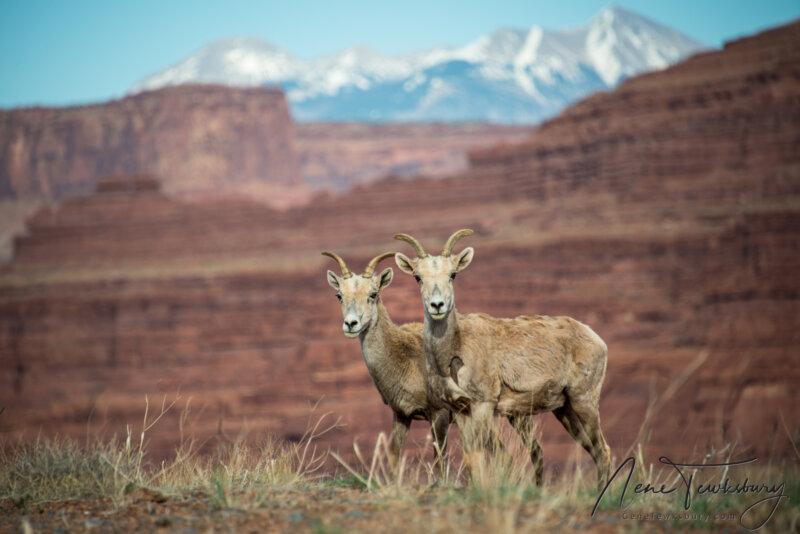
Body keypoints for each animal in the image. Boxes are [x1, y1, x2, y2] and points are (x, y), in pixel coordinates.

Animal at [324, 251, 450, 468]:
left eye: (373, 294)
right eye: (339, 295)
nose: (350, 324)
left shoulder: (439, 416)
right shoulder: (400, 416)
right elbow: (394, 458)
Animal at [394, 230, 612, 490]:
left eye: (453, 274)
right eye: (417, 277)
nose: (437, 305)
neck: (453, 351)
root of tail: (596, 339)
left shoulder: (482, 406)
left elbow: (480, 457)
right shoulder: (461, 412)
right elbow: (471, 458)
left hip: (584, 402)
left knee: (603, 451)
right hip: (565, 410)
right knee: (594, 451)